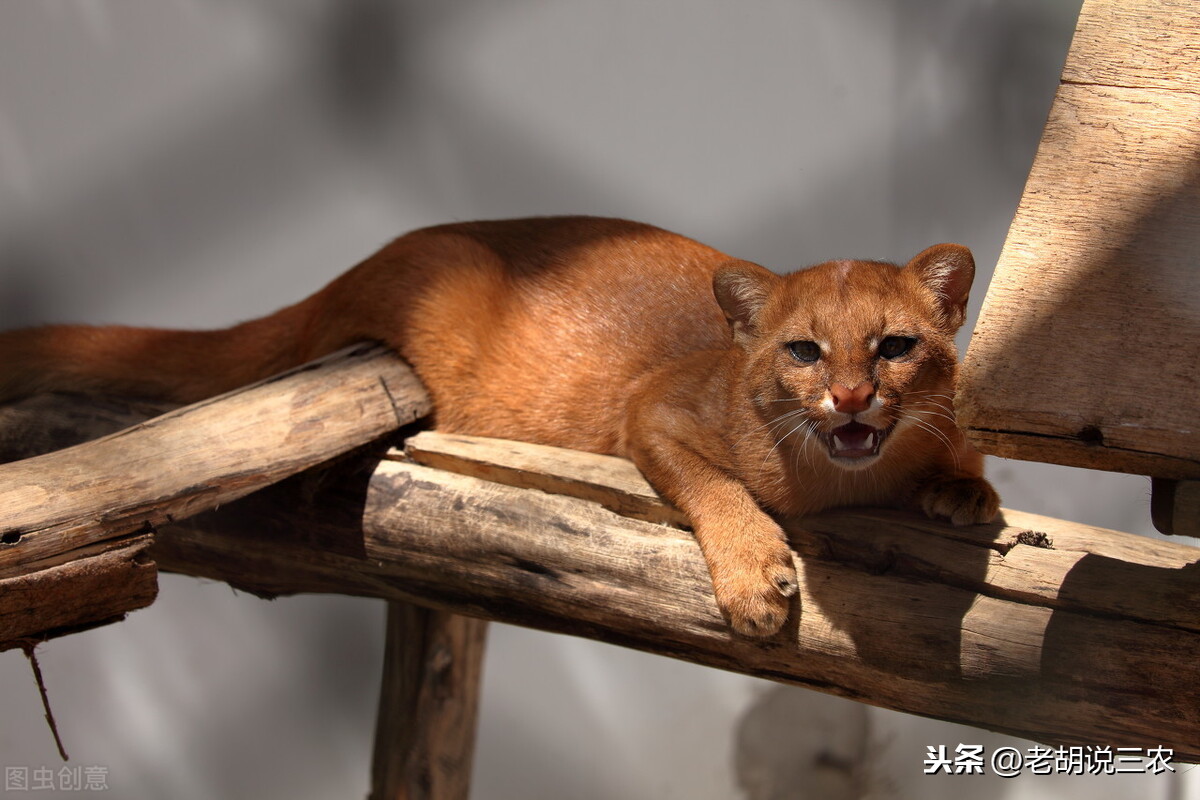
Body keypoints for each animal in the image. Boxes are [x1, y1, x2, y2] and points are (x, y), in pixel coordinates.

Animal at [0, 217, 998, 638]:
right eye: (803, 351)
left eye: (895, 346)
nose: (851, 399)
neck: (842, 486)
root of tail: (379, 252)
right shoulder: (653, 407)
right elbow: (713, 485)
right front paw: (757, 578)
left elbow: (965, 451)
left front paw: (966, 493)